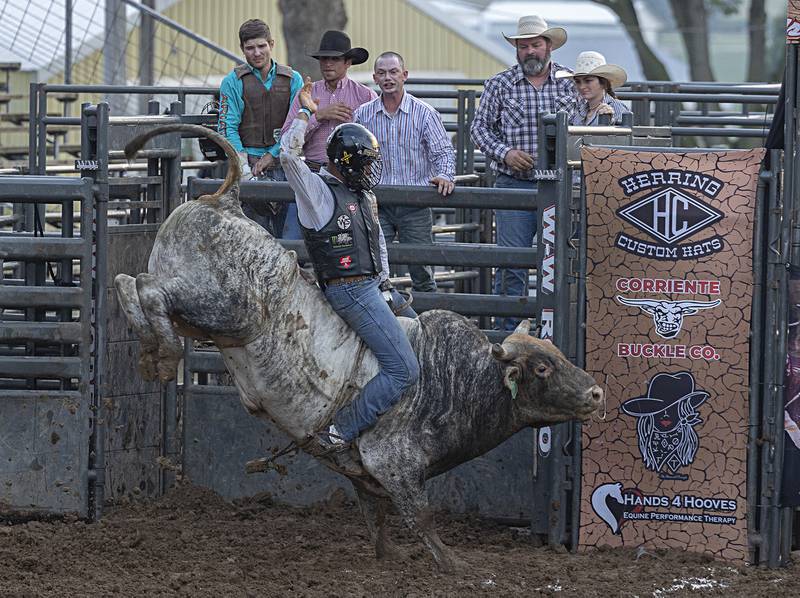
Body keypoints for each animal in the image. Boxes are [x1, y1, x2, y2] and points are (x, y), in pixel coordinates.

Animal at [111, 125, 600, 572]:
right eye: (542, 368)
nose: (596, 392)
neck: (455, 382)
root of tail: (225, 201)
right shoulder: (393, 462)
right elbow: (421, 516)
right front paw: (457, 564)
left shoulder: (365, 475)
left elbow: (375, 515)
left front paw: (390, 555)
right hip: (229, 310)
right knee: (146, 288)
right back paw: (165, 355)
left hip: (206, 316)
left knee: (128, 282)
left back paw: (151, 353)